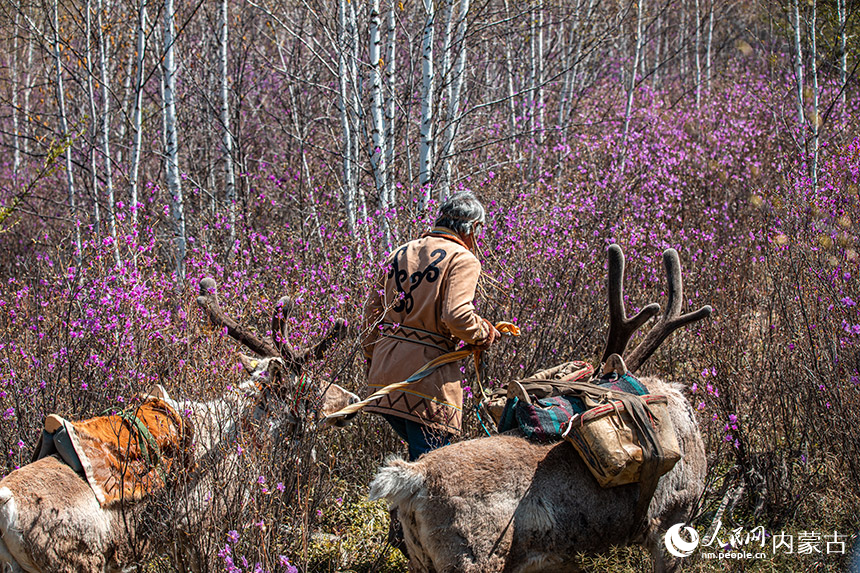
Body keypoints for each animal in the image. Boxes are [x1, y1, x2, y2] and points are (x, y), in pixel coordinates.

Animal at [0, 278, 358, 573]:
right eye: (309, 387)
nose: (352, 400)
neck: (244, 438)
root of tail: (5, 508)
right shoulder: (200, 529)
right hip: (77, 563)